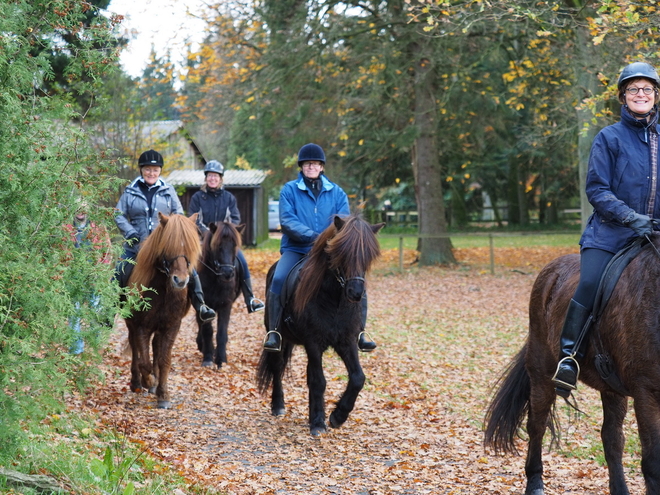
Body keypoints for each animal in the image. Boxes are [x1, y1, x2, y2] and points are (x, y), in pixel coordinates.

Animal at [124, 213, 201, 410]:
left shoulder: (172, 325)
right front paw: (149, 381)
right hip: (132, 324)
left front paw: (163, 394)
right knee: (135, 348)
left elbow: (164, 360)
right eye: (167, 247)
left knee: (156, 347)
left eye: (189, 248)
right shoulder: (141, 326)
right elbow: (144, 362)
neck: (163, 291)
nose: (180, 281)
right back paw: (137, 382)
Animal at [197, 221, 246, 368]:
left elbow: (222, 333)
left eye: (234, 245)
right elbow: (207, 330)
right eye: (218, 246)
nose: (228, 273)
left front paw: (221, 359)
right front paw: (208, 358)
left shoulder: (226, 305)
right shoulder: (205, 304)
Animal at [255, 215, 384, 436]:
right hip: (279, 338)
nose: (356, 293)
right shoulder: (313, 343)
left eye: (368, 255)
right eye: (341, 253)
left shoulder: (347, 341)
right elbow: (319, 381)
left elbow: (358, 378)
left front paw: (337, 416)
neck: (334, 300)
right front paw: (317, 423)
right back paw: (278, 406)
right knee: (277, 367)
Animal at [482, 238, 660, 494]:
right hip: (542, 371)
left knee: (612, 438)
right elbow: (653, 463)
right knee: (536, 425)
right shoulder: (647, 394)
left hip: (611, 387)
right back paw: (534, 483)